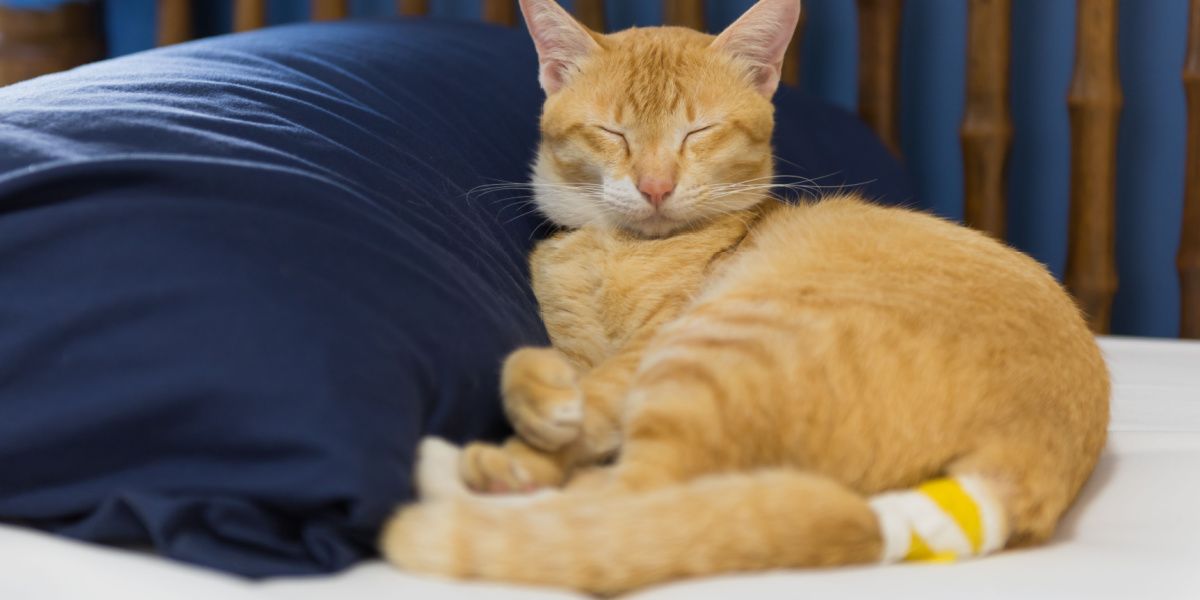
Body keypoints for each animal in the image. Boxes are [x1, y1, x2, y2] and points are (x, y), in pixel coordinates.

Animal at [381, 0, 1104, 592]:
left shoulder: (650, 343)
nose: (655, 186)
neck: (619, 251)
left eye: (698, 133)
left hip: (712, 350)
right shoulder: (577, 343)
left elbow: (578, 391)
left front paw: (539, 427)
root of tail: (1029, 455)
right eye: (612, 134)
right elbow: (542, 362)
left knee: (629, 502)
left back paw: (462, 471)